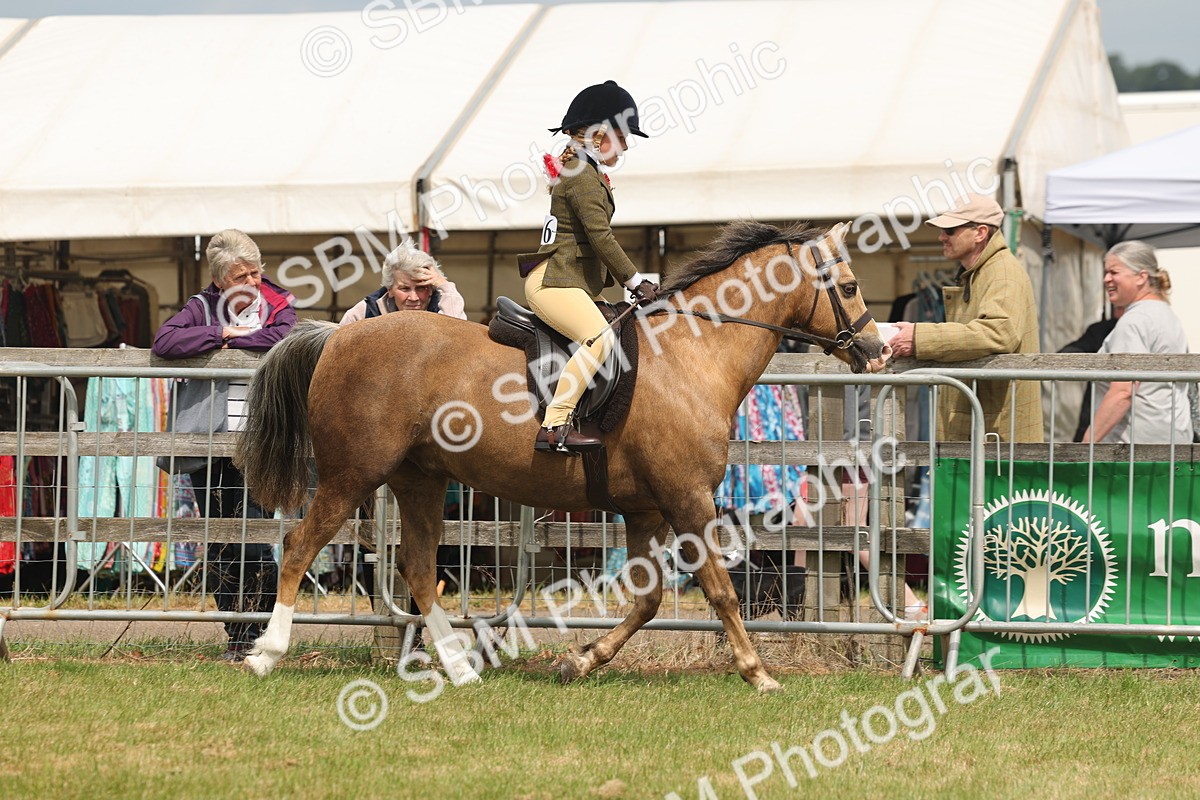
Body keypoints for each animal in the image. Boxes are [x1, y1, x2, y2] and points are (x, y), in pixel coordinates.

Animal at [234, 220, 890, 691]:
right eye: (850, 287)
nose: (879, 350)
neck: (693, 351)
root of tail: (337, 335)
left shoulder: (645, 510)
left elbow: (648, 599)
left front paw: (579, 661)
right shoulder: (687, 499)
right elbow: (720, 589)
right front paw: (759, 673)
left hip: (419, 480)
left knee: (418, 568)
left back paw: (461, 668)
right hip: (351, 475)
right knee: (301, 546)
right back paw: (266, 653)